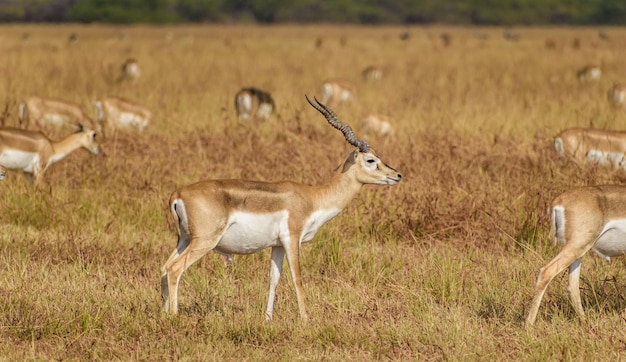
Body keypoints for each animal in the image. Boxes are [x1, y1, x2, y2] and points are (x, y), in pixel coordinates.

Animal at [161, 96, 402, 320]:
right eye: (371, 160)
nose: (397, 175)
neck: (314, 198)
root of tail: (178, 194)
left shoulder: (276, 245)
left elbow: (273, 278)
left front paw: (268, 318)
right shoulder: (292, 239)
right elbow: (297, 277)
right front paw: (305, 319)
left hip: (184, 240)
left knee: (164, 267)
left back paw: (163, 314)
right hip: (204, 241)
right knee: (174, 270)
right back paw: (174, 315)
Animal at [524, 185, 624, 326]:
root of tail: (559, 201)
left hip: (577, 253)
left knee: (572, 286)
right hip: (577, 246)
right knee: (546, 272)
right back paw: (529, 324)